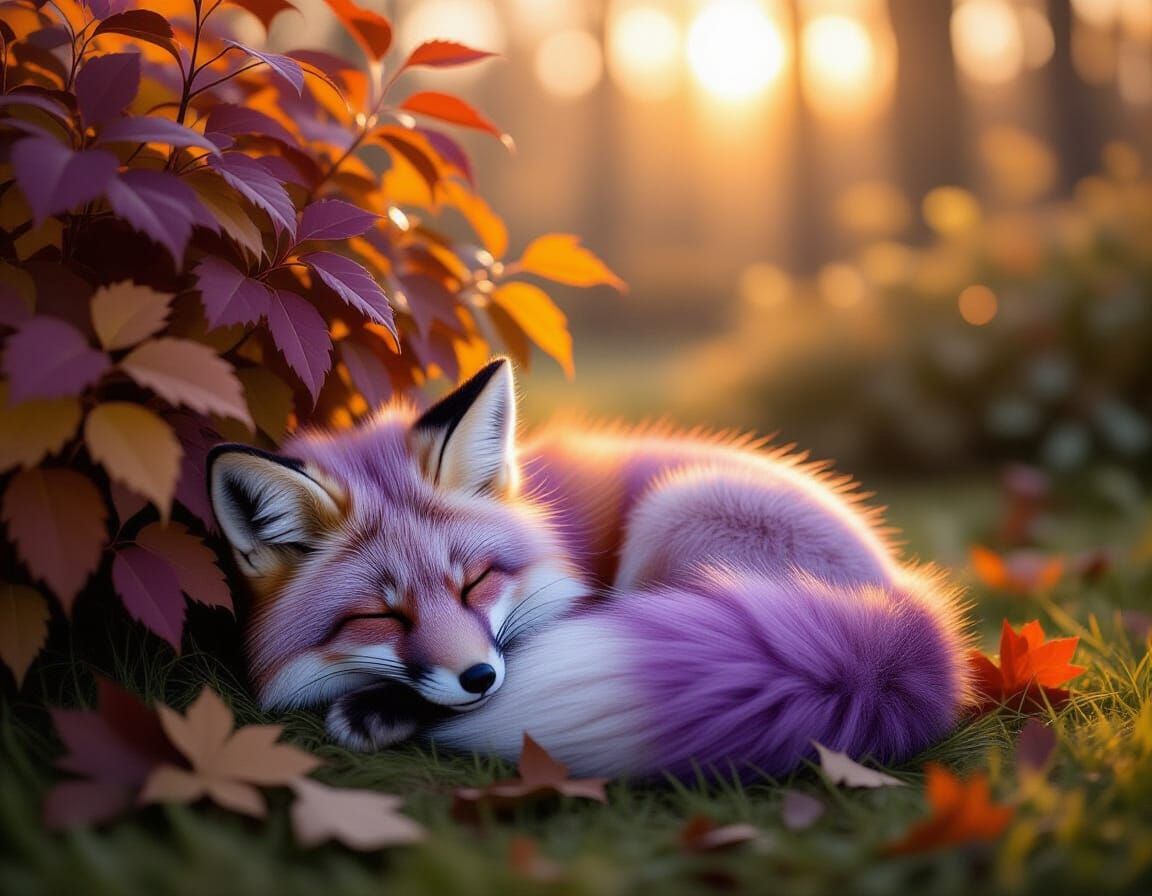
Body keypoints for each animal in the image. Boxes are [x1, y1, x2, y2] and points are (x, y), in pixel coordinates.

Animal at [207, 358, 970, 779]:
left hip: (675, 511)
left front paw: (382, 710)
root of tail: (906, 613)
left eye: (475, 581)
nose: (478, 678)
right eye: (381, 615)